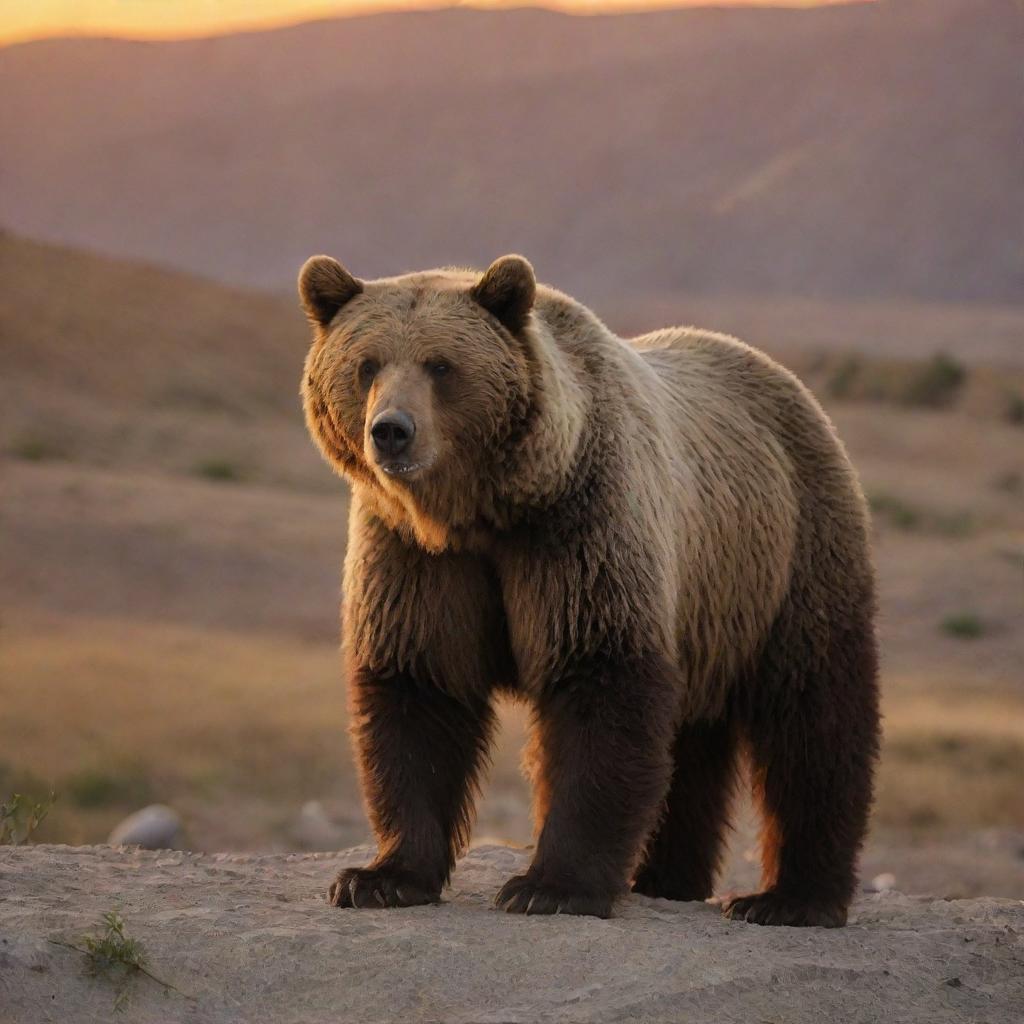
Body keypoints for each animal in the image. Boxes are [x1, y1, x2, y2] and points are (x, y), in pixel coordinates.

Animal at [299, 253, 880, 929]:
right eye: (366, 364)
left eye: (440, 365)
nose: (392, 430)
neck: (480, 511)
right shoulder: (418, 557)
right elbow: (420, 689)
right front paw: (379, 878)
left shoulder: (581, 527)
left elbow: (600, 682)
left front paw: (550, 886)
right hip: (706, 608)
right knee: (692, 744)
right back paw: (668, 878)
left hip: (787, 556)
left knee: (813, 717)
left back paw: (789, 898)